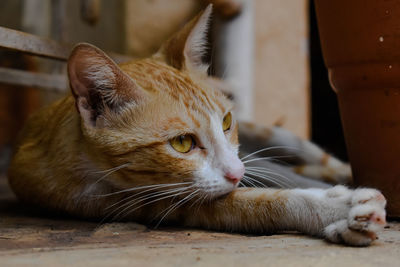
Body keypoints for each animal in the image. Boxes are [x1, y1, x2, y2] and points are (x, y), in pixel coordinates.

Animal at [7, 4, 386, 247]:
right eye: (182, 143)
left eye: (227, 121)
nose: (237, 172)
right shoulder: (148, 203)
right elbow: (255, 202)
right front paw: (337, 209)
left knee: (311, 160)